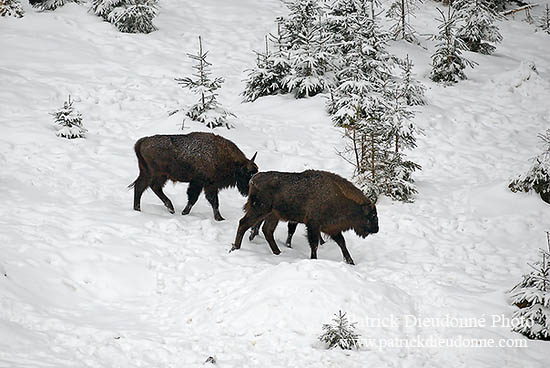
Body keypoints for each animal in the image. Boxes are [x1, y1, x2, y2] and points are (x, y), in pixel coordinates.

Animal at [130, 132, 258, 220]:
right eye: (247, 174)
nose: (249, 190)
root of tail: (143, 141)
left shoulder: (205, 185)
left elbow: (203, 200)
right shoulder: (203, 184)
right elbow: (204, 199)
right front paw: (219, 219)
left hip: (160, 176)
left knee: (153, 187)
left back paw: (170, 208)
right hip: (152, 173)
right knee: (141, 187)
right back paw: (138, 209)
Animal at [230, 170, 380, 264]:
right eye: (372, 215)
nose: (376, 229)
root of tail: (253, 179)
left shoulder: (331, 228)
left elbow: (342, 243)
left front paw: (351, 262)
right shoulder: (313, 225)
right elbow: (314, 245)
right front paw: (314, 259)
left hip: (272, 215)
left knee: (267, 231)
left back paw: (278, 252)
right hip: (259, 210)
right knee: (243, 223)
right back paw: (235, 248)